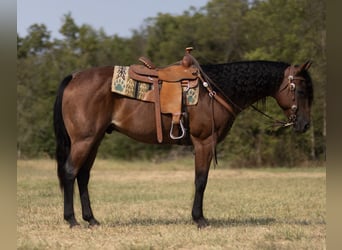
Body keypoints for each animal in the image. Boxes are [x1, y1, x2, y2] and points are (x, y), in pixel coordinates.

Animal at [52, 59, 312, 228]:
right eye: (300, 90)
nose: (305, 125)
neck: (215, 90)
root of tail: (74, 77)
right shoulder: (204, 143)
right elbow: (201, 180)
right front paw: (200, 219)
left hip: (94, 140)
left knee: (83, 176)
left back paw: (91, 219)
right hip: (84, 140)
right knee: (70, 172)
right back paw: (72, 220)